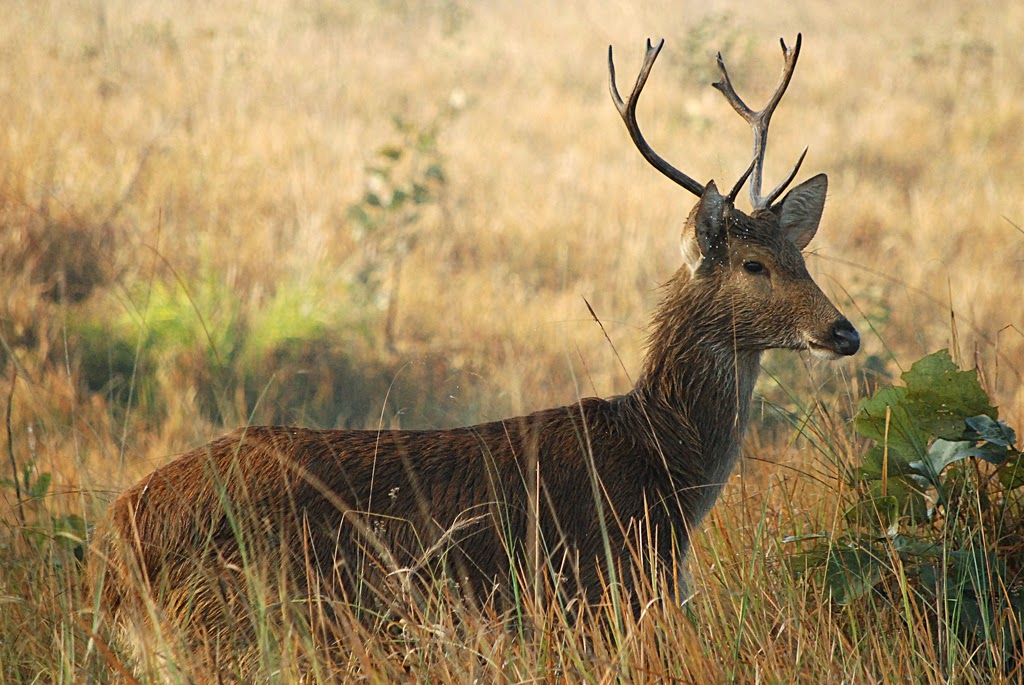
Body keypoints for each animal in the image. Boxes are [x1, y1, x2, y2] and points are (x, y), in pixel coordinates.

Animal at [90, 34, 859, 665]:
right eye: (754, 266)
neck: (662, 467)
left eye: (801, 255)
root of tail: (113, 545)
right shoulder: (596, 593)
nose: (843, 332)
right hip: (231, 621)